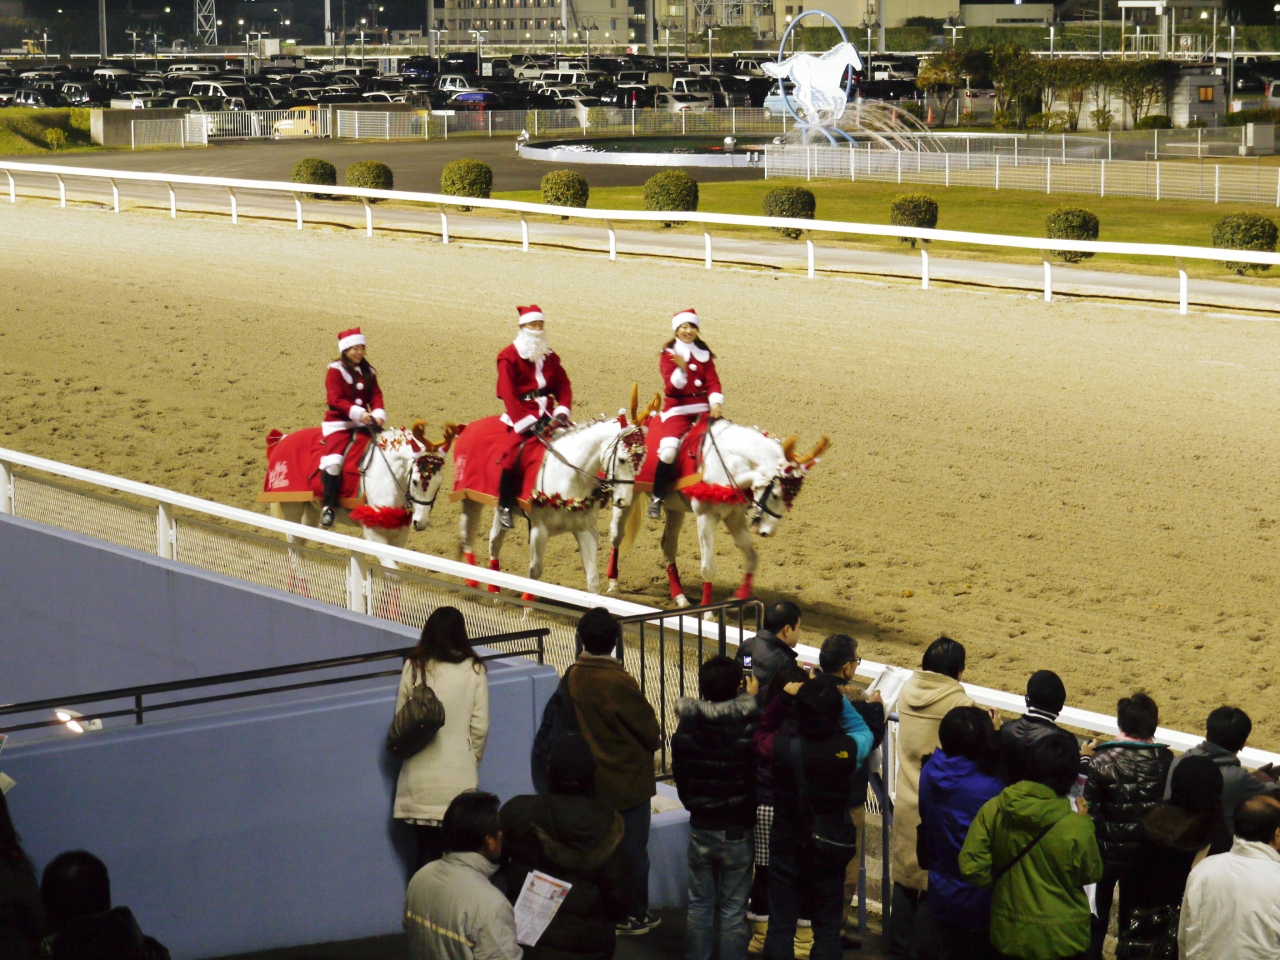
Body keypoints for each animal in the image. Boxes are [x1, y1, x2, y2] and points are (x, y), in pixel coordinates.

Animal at [267, 422, 453, 563]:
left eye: (439, 484)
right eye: (415, 481)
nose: (421, 523)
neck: (388, 476)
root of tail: (284, 438)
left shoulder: (399, 534)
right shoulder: (374, 534)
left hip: (310, 510)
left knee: (300, 544)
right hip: (292, 507)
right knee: (293, 547)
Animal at [455, 414, 645, 599]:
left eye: (640, 462)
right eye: (621, 459)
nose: (624, 500)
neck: (569, 477)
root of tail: (469, 426)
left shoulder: (586, 530)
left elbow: (593, 580)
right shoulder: (539, 530)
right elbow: (535, 572)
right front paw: (527, 609)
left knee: (494, 541)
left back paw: (494, 589)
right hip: (470, 498)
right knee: (467, 535)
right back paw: (472, 582)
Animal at [609, 427, 829, 611]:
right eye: (775, 495)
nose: (768, 532)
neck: (728, 467)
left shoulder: (735, 518)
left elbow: (752, 559)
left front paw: (738, 599)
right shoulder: (706, 518)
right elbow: (708, 567)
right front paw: (708, 613)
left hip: (675, 509)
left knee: (668, 546)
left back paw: (680, 597)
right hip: (627, 496)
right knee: (617, 535)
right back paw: (613, 584)